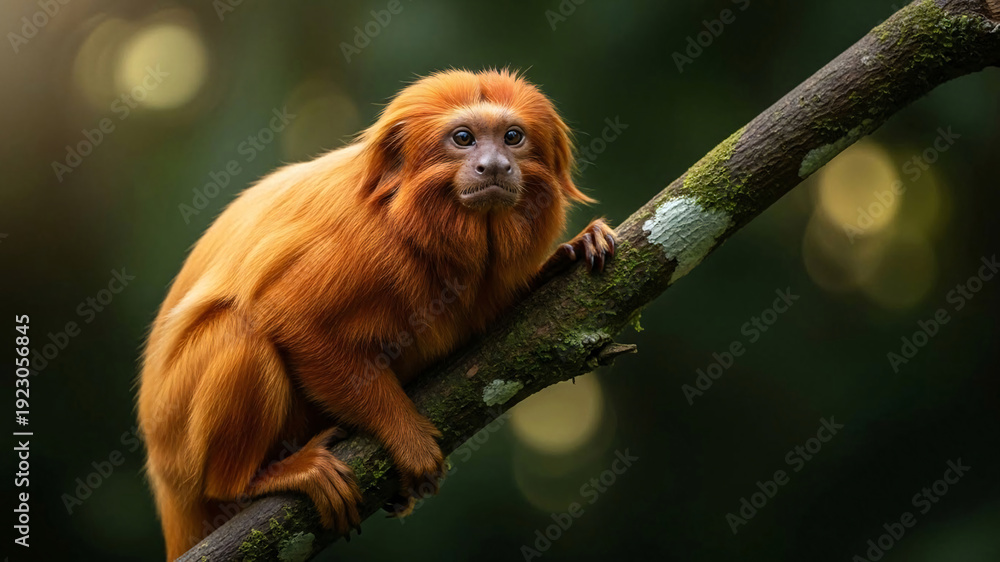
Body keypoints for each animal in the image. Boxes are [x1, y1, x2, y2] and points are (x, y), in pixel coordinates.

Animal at [137, 68, 616, 560]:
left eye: (513, 137)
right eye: (463, 138)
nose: (495, 165)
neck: (422, 216)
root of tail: (164, 480)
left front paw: (569, 252)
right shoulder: (363, 241)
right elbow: (289, 318)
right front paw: (404, 436)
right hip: (181, 443)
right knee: (240, 330)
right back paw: (252, 481)